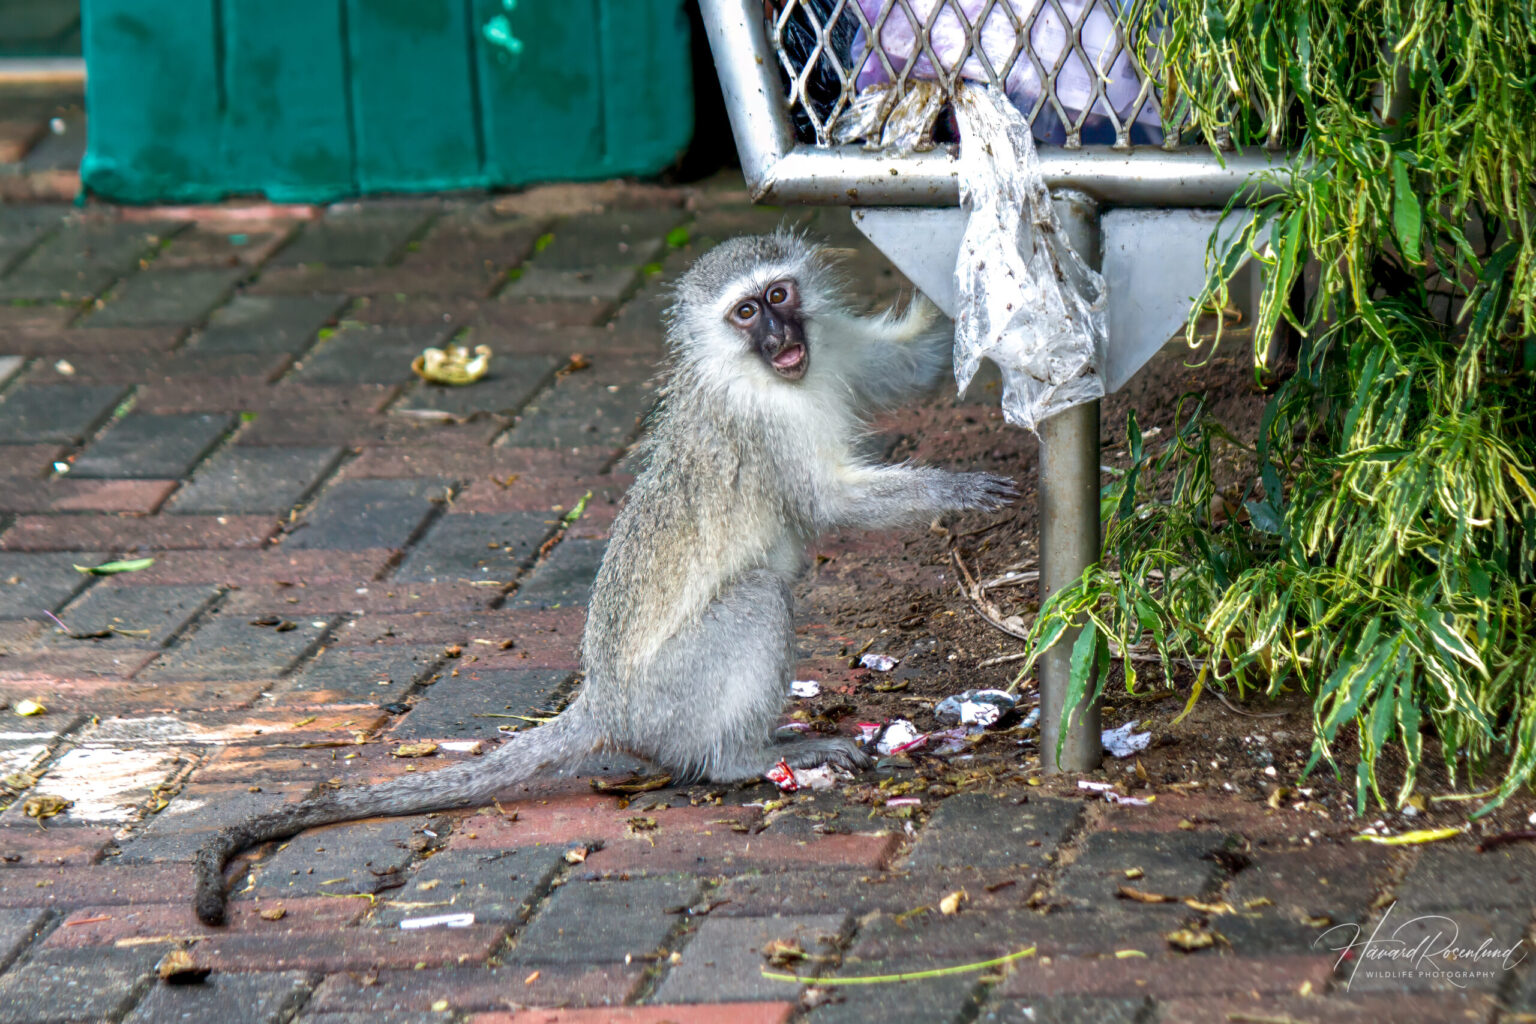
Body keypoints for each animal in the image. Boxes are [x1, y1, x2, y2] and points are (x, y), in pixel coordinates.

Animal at [192, 230, 1017, 925]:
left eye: (781, 295)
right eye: (745, 312)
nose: (781, 337)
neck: (773, 374)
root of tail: (606, 702)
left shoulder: (834, 341)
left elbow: (909, 363)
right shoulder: (762, 424)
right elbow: (828, 501)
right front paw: (957, 489)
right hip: (672, 696)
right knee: (757, 601)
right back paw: (744, 758)